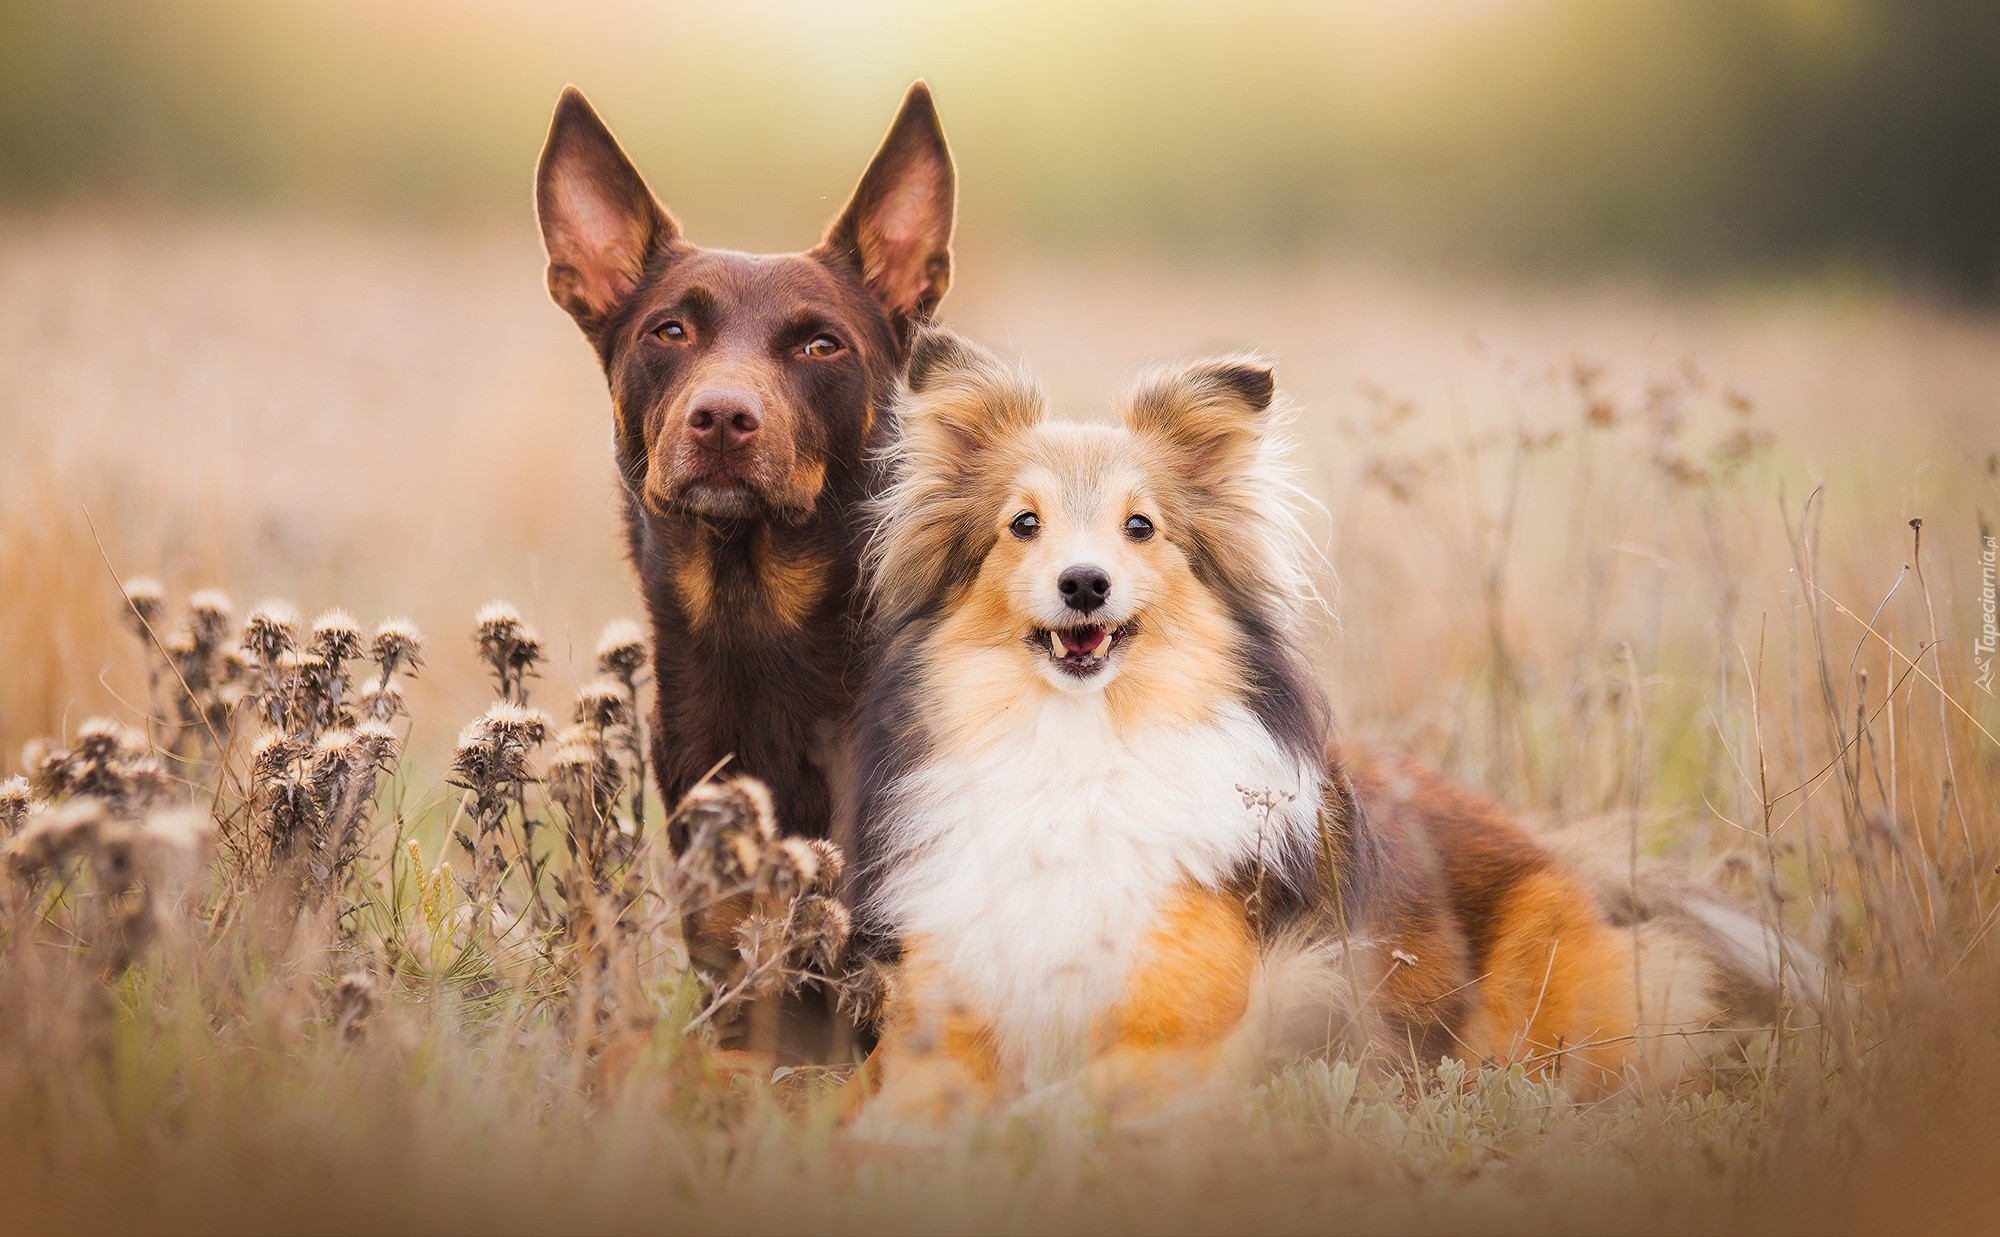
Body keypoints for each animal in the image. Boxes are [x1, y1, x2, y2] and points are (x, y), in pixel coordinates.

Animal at [844, 328, 1816, 1128]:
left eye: (1140, 526)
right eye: (1023, 524)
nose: (1084, 583)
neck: (1079, 753)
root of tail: (1572, 861)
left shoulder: (1187, 1032)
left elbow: (1066, 1107)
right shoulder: (940, 1020)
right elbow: (896, 1108)